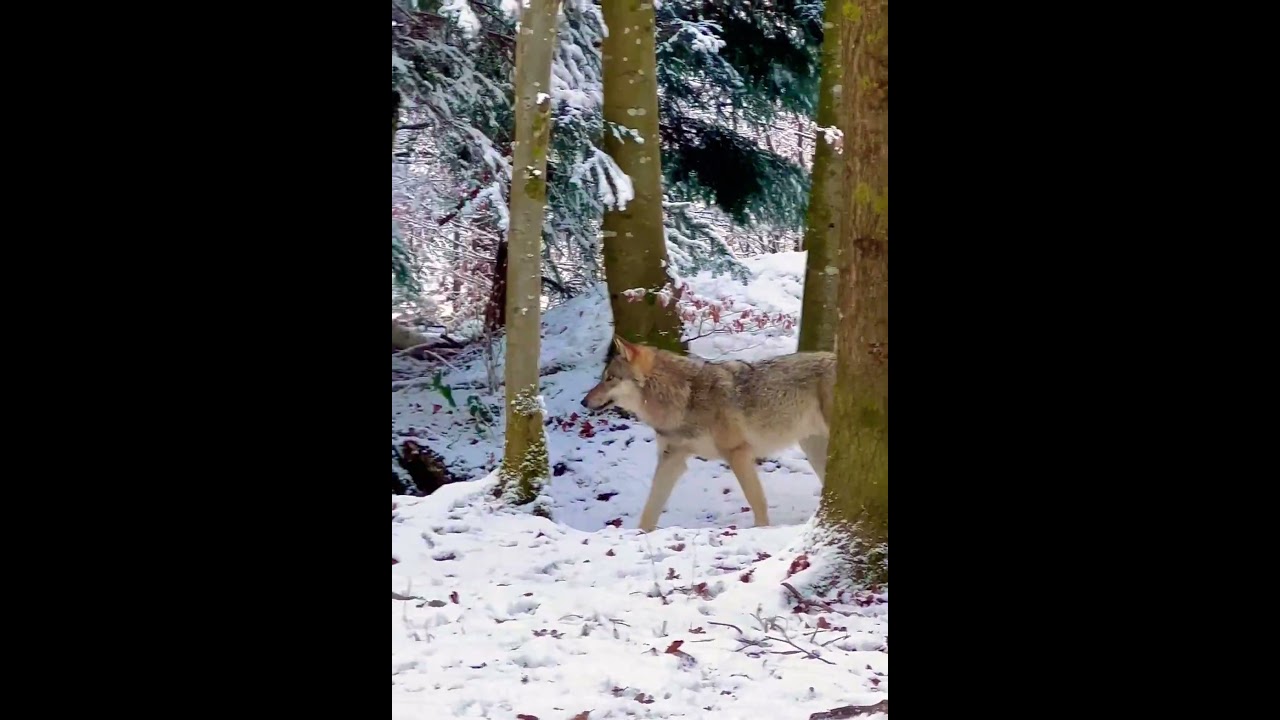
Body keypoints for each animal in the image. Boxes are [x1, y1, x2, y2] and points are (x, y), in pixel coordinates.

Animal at [581, 336, 835, 532]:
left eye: (610, 379)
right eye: (603, 378)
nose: (584, 402)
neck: (684, 398)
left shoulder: (737, 453)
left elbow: (757, 501)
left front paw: (762, 530)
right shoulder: (671, 458)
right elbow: (650, 508)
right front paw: (640, 536)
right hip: (814, 450)